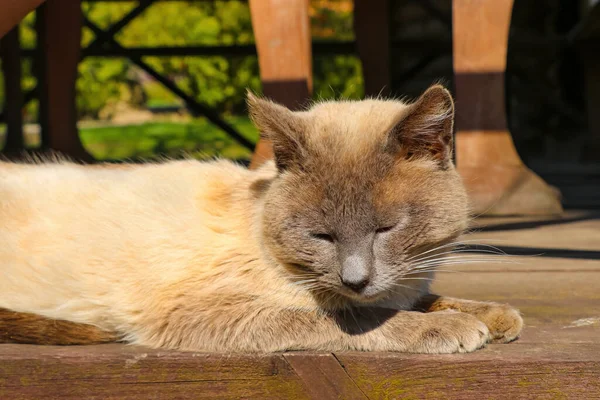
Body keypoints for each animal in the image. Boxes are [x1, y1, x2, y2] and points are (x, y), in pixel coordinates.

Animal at [0, 85, 520, 354]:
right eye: (321, 236)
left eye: (385, 229)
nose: (354, 279)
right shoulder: (203, 311)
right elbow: (351, 317)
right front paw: (452, 328)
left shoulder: (402, 282)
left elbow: (425, 298)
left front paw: (495, 315)